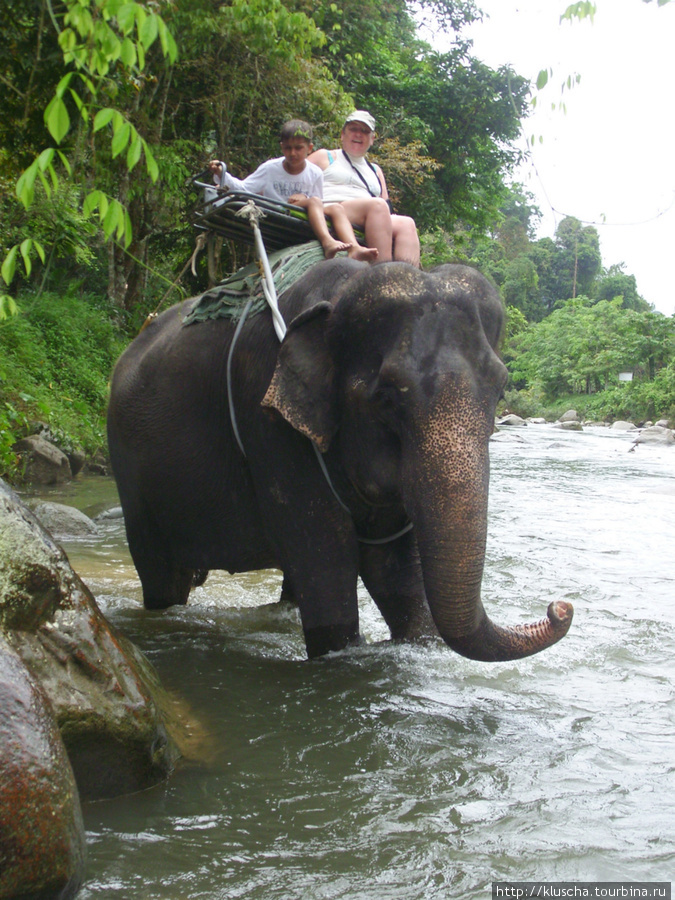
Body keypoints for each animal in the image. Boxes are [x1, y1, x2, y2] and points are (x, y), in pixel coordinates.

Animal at [108, 260, 572, 660]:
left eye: (500, 389)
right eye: (386, 398)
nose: (560, 607)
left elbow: (395, 571)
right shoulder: (269, 423)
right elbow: (328, 562)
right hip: (132, 477)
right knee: (161, 575)